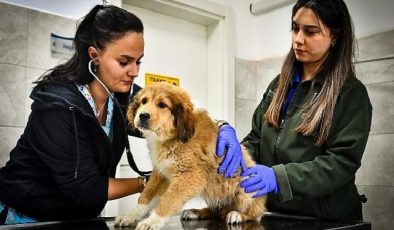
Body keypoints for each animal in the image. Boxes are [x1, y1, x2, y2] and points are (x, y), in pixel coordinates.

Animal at [114, 82, 268, 230]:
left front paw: (152, 221)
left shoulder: (190, 175)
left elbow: (168, 199)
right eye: (143, 101)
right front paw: (129, 216)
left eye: (162, 105)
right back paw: (195, 212)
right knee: (217, 211)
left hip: (247, 185)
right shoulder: (161, 173)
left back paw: (237, 215)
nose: (142, 115)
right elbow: (146, 196)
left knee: (254, 213)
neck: (171, 137)